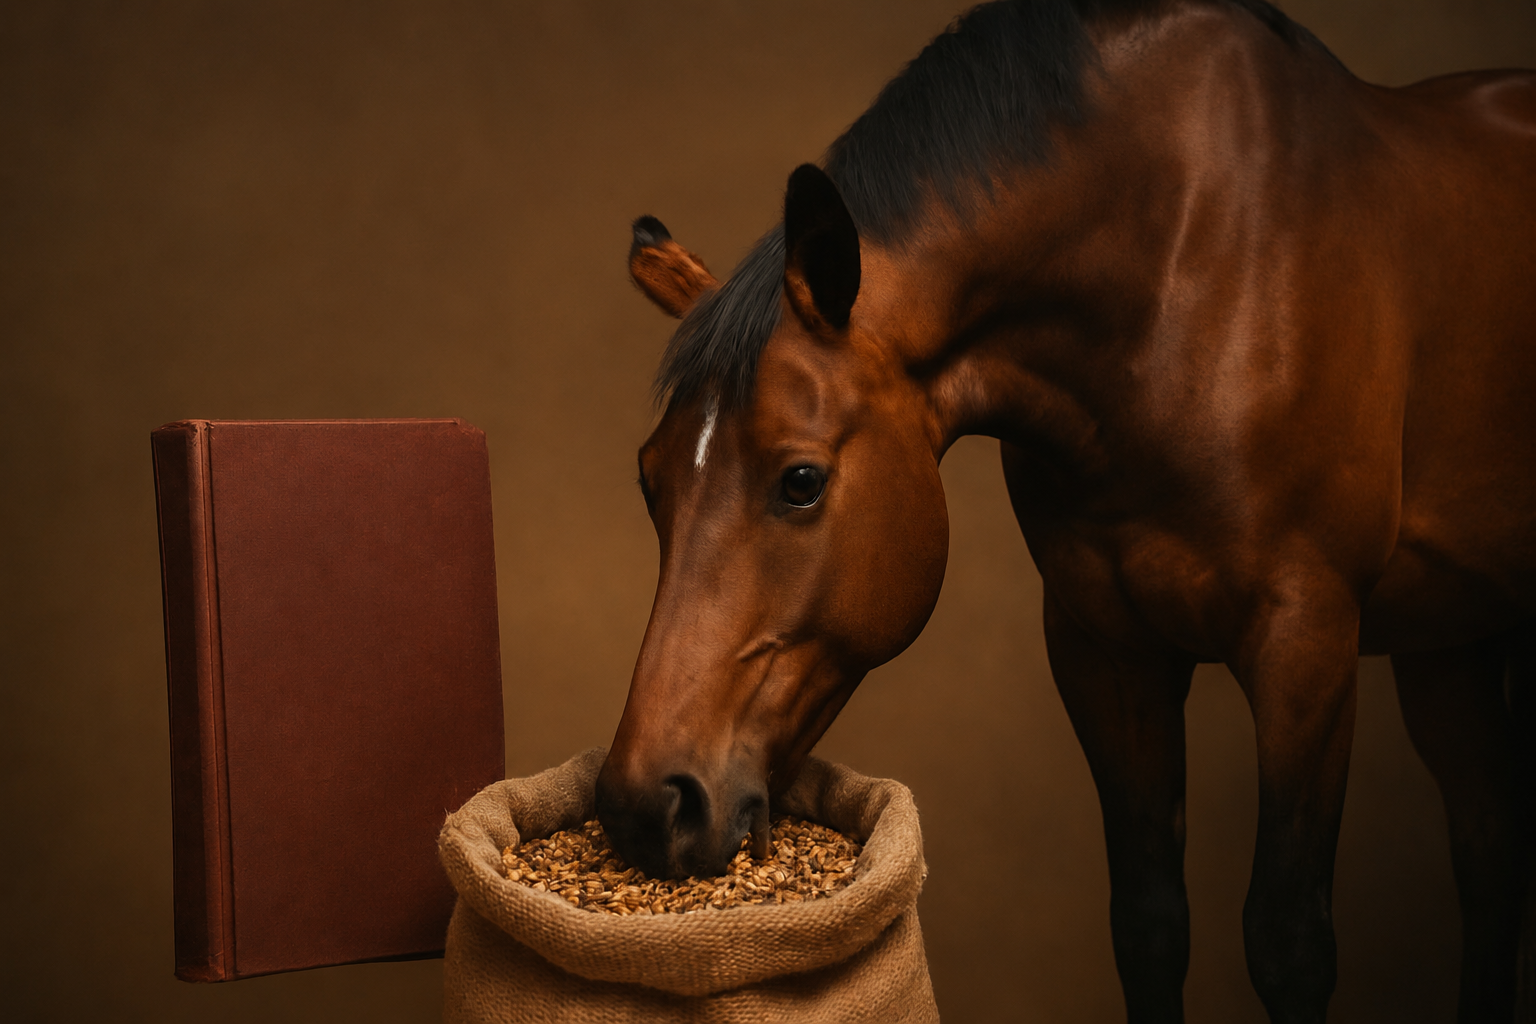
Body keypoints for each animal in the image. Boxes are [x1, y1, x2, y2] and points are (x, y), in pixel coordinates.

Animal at [594, 1, 1536, 1020]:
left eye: (799, 480)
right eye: (650, 482)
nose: (645, 805)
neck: (1187, 272)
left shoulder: (1306, 646)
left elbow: (1289, 941)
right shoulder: (1104, 647)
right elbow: (1150, 923)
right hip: (1449, 644)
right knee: (1490, 858)